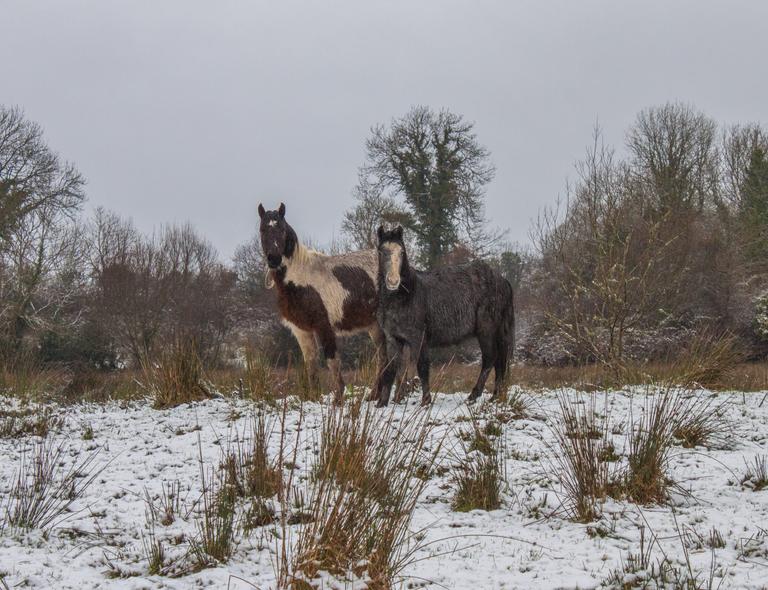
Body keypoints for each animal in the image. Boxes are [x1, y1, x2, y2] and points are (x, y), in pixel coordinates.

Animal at [258, 203, 387, 403]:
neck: (300, 278)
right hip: (374, 325)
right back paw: (375, 395)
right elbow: (311, 365)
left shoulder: (323, 326)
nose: (274, 259)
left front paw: (338, 399)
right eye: (263, 229)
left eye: (281, 229)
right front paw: (313, 399)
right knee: (384, 355)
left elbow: (332, 360)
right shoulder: (301, 330)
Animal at [375, 225, 514, 407]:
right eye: (381, 251)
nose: (393, 281)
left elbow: (422, 367)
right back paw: (495, 397)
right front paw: (382, 403)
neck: (405, 296)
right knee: (500, 362)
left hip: (486, 331)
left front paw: (426, 401)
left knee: (490, 359)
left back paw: (473, 396)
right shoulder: (392, 339)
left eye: (402, 252)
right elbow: (390, 369)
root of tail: (502, 280)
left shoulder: (418, 338)